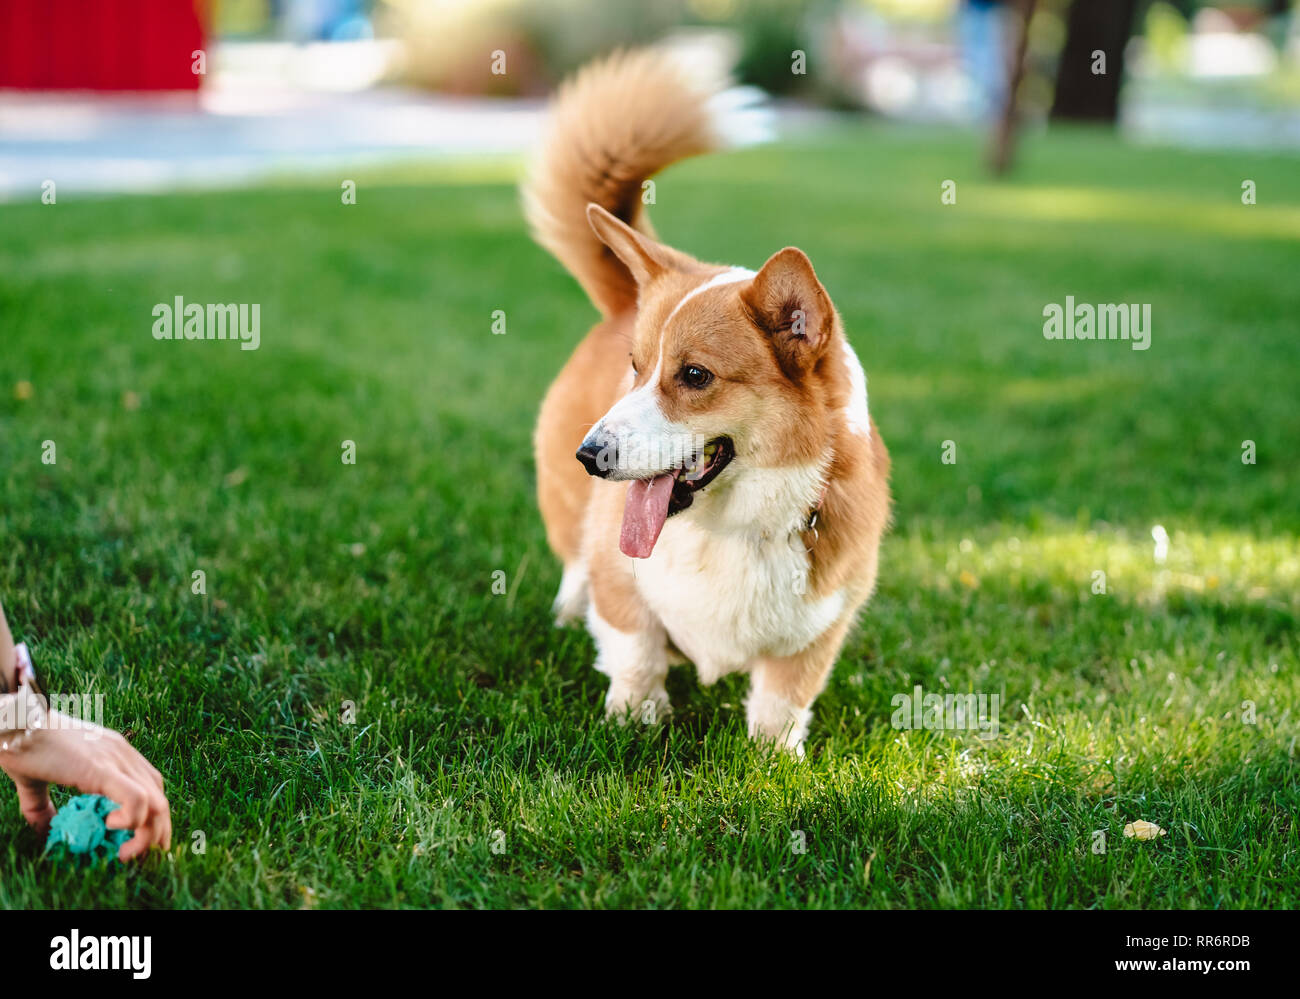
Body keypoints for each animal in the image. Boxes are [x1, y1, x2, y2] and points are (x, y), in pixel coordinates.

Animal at [522, 46, 889, 749]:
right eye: (635, 369)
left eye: (694, 376)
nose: (590, 455)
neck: (734, 528)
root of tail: (623, 300)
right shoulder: (623, 582)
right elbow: (634, 650)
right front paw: (636, 719)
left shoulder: (819, 628)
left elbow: (782, 699)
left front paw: (774, 759)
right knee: (574, 565)